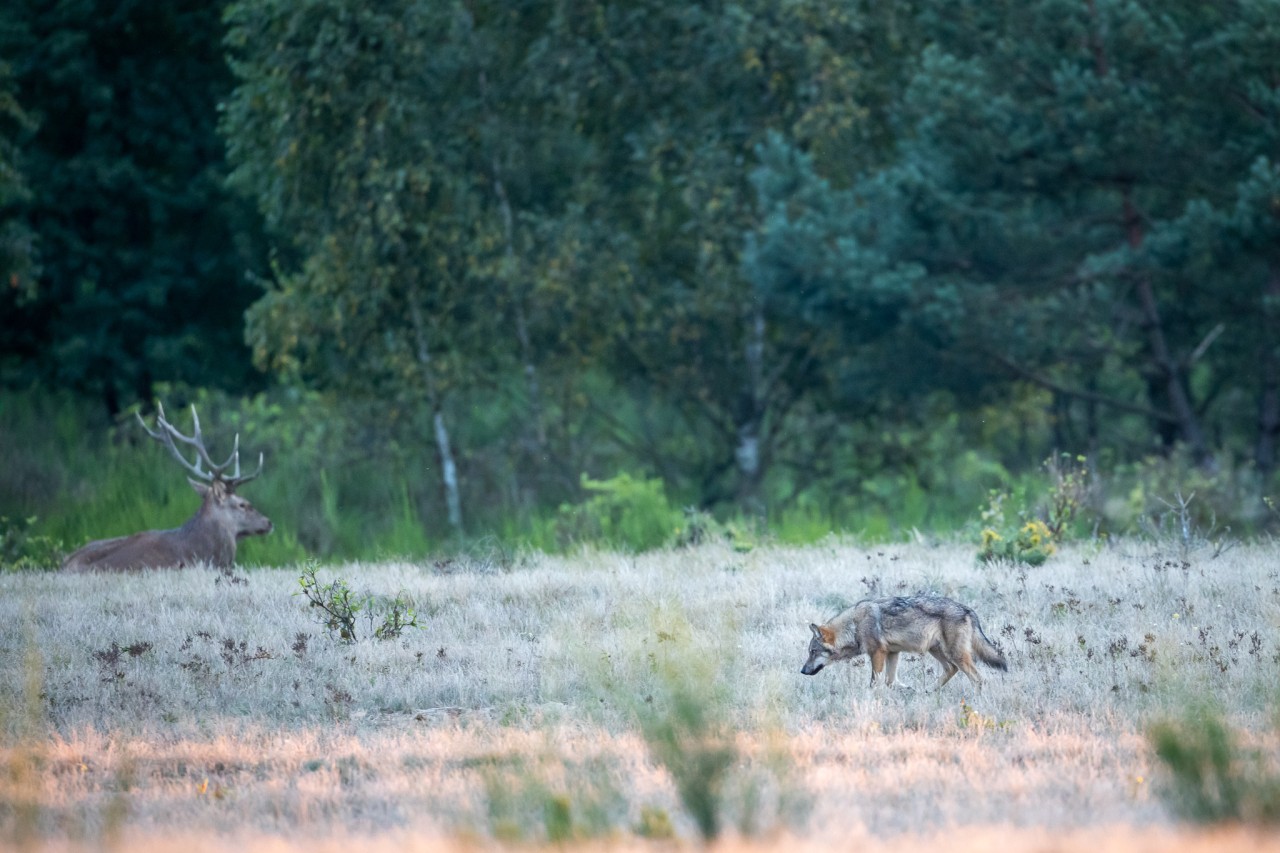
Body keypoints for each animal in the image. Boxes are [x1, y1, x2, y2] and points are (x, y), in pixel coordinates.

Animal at [803, 594, 1003, 686]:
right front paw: (906, 690)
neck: (854, 626)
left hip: (956, 655)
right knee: (951, 670)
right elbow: (891, 682)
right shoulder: (893, 653)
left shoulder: (877, 653)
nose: (802, 671)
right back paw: (929, 691)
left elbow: (875, 682)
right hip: (937, 651)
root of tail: (969, 610)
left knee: (979, 679)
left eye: (813, 652)